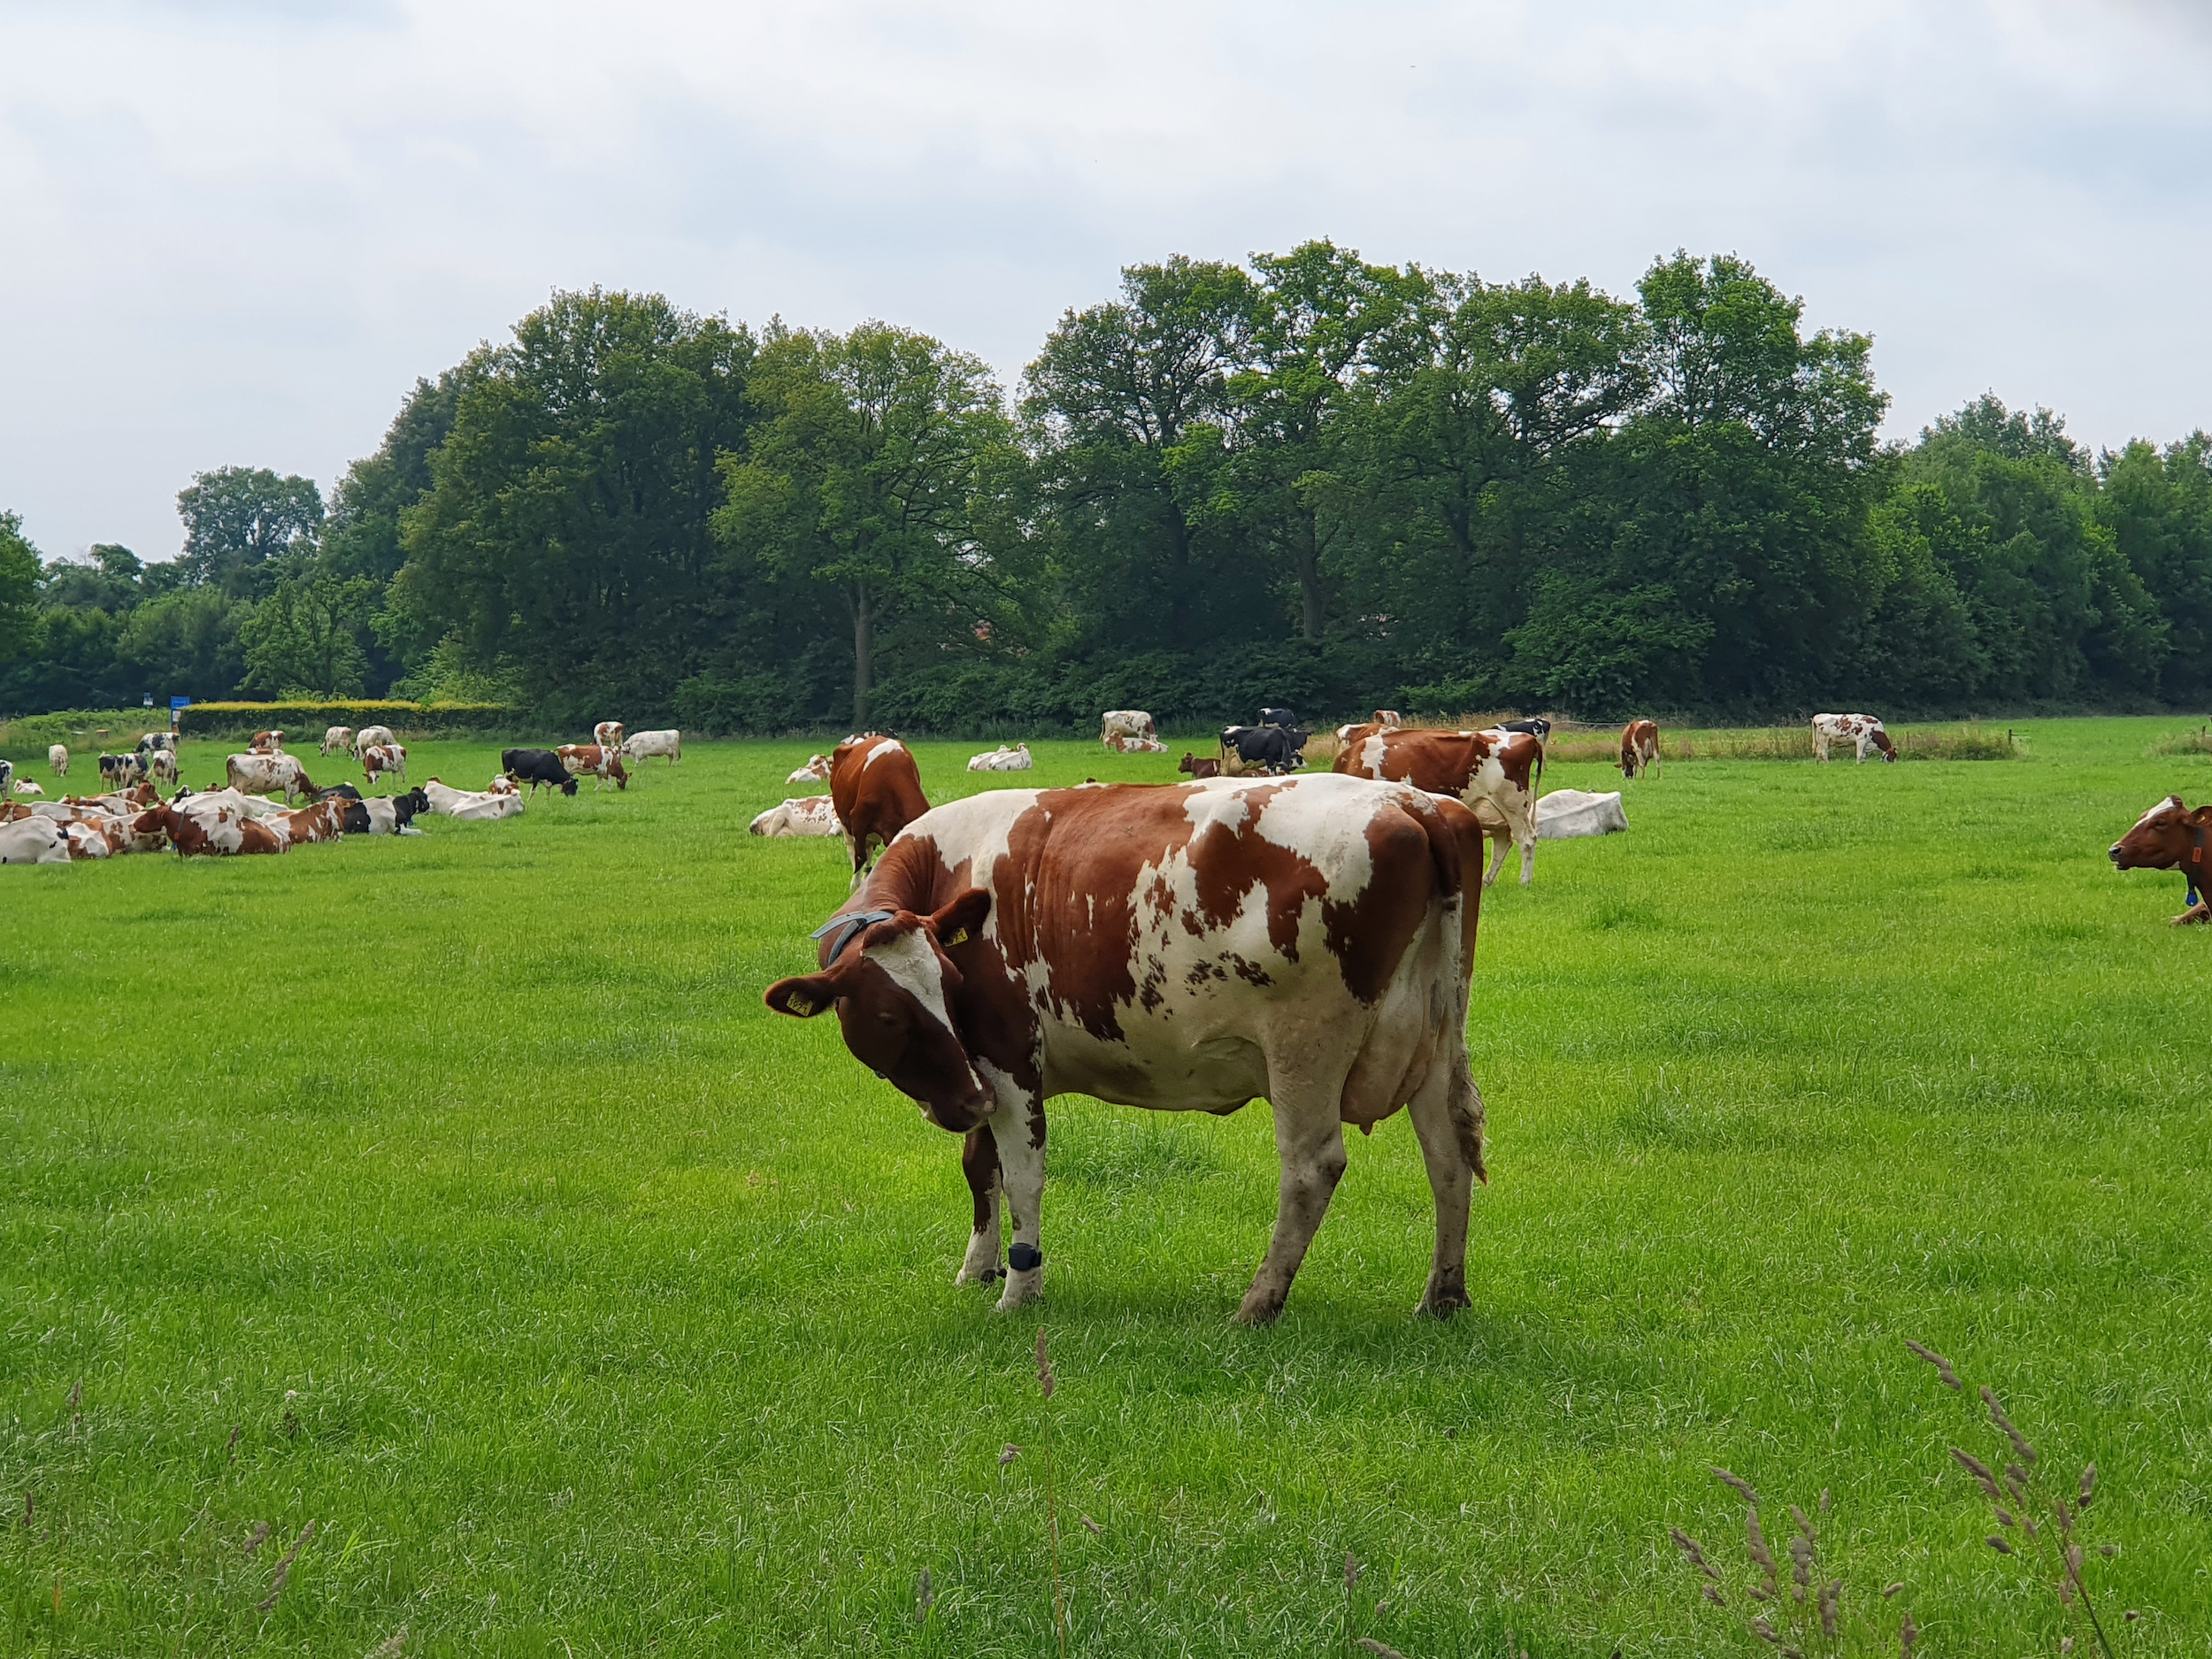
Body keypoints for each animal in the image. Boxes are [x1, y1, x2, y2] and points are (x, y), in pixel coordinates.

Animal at [765, 774, 1489, 1323]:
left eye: (950, 986)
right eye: (894, 1013)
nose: (967, 1101)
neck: (949, 865)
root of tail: (1415, 803)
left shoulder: (1006, 1056)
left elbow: (1022, 1174)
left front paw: (1018, 1290)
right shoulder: (980, 1070)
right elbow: (980, 1164)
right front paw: (977, 1267)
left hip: (1304, 1048)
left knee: (1313, 1167)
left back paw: (1258, 1302)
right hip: (1435, 1036)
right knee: (1449, 1155)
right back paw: (1443, 1295)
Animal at [829, 734, 929, 888]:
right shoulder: (859, 822)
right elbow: (860, 857)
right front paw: (856, 886)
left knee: (870, 850)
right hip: (844, 819)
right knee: (852, 848)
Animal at [1335, 726, 1545, 887]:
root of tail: (1529, 738)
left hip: (1513, 804)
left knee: (1527, 839)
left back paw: (1524, 881)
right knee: (1503, 842)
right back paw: (1486, 881)